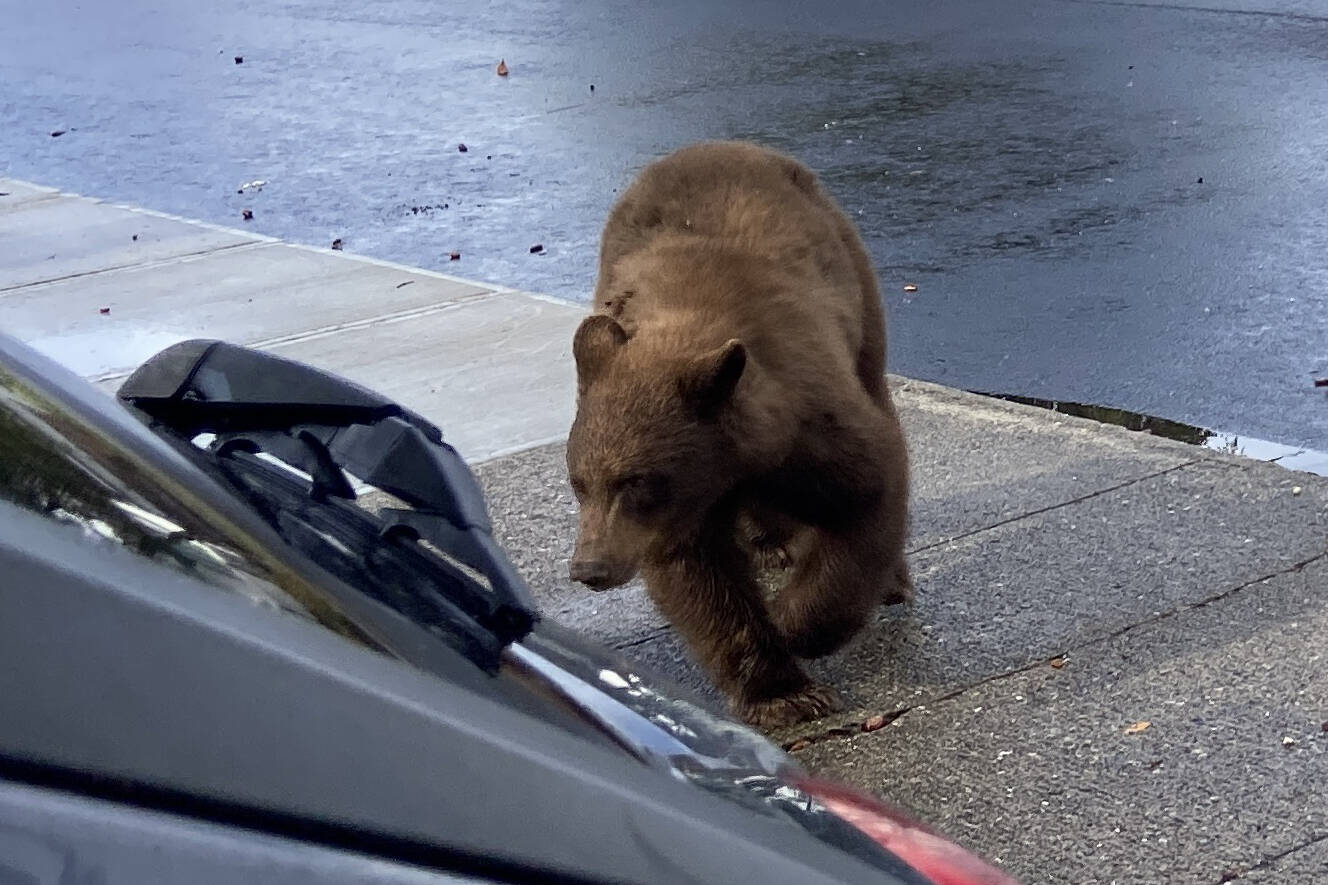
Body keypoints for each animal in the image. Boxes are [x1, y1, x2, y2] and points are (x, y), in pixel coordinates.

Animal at [565, 140, 911, 728]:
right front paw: (782, 693)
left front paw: (796, 622)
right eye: (578, 483)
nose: (590, 567)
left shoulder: (809, 420)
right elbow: (701, 581)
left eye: (636, 481)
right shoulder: (682, 513)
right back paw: (771, 540)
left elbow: (867, 494)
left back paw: (891, 580)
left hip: (857, 285)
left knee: (874, 379)